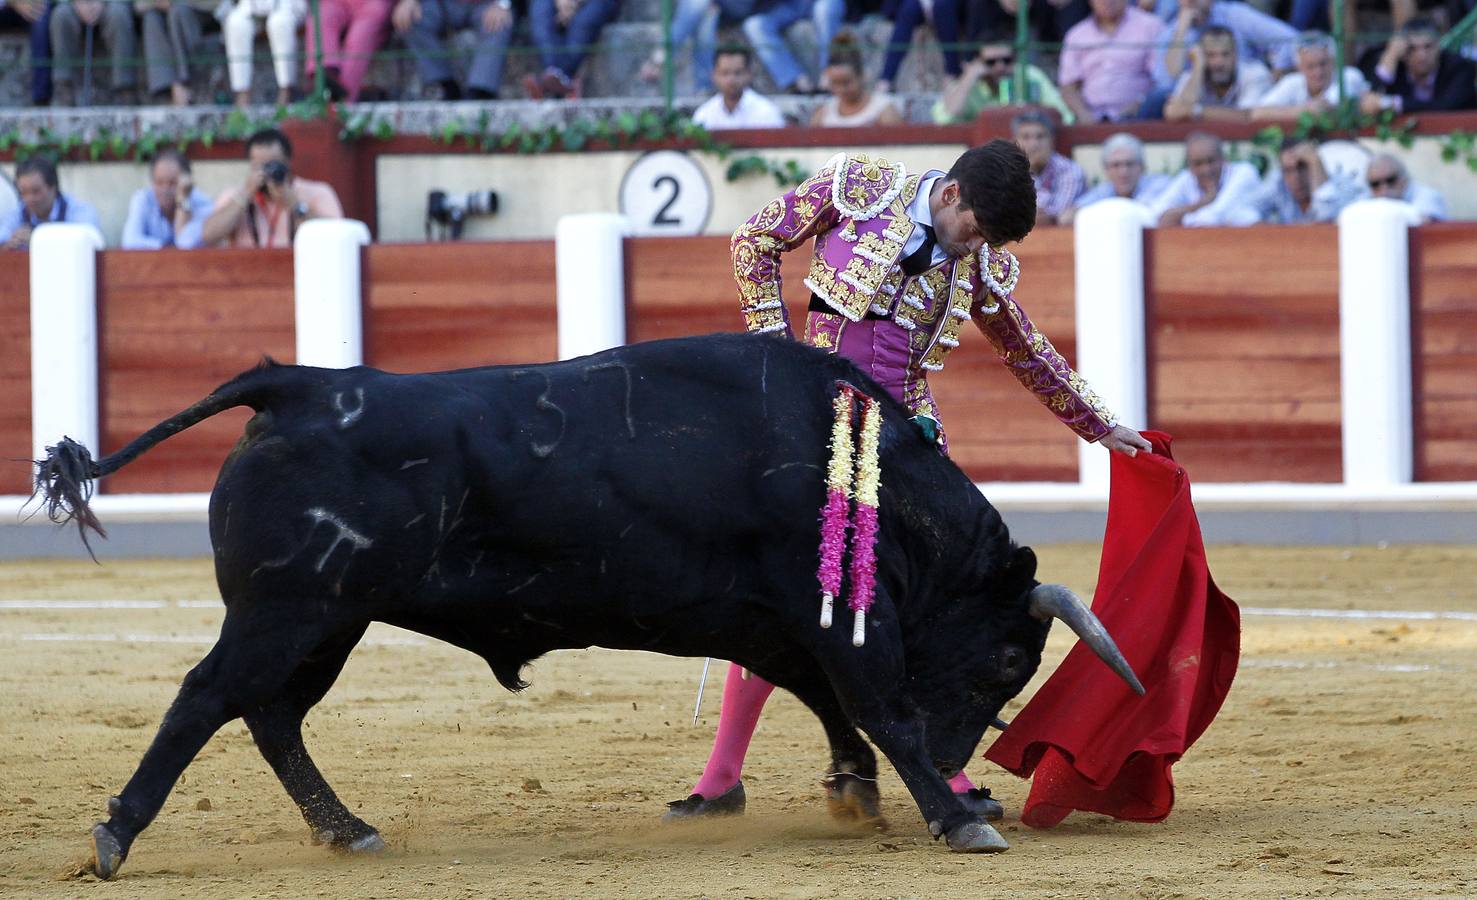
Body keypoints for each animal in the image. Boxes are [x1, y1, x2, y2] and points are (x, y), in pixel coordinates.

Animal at [34, 329, 1140, 874]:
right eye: (1009, 659)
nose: (968, 769)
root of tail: (296, 385)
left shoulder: (775, 622)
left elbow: (831, 703)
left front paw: (859, 793)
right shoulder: (825, 619)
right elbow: (879, 705)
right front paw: (950, 818)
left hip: (328, 621)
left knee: (268, 716)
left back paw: (345, 831)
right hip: (288, 613)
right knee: (205, 698)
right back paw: (116, 836)